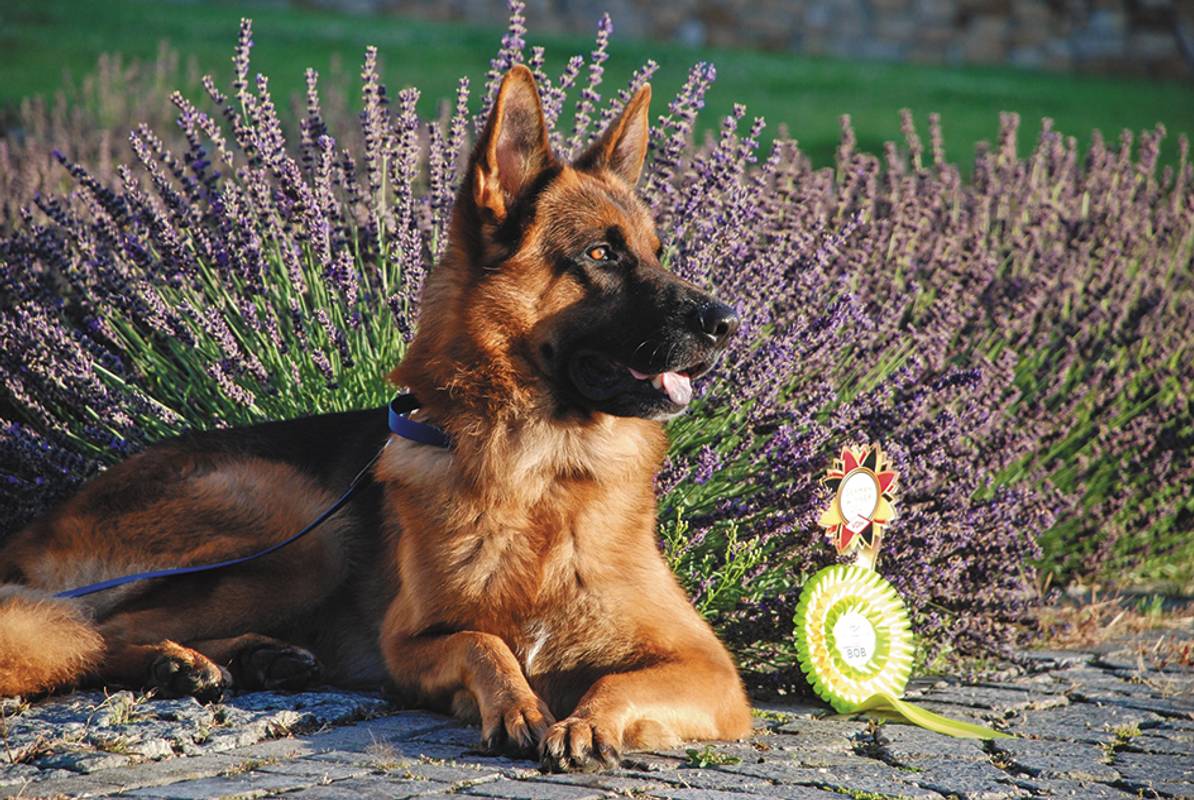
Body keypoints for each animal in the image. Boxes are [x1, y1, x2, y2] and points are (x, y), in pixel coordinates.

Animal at [0, 65, 745, 768]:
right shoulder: (409, 644)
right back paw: (178, 662)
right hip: (304, 529)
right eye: (601, 254)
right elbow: (485, 643)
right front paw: (519, 706)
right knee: (94, 633)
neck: (540, 467)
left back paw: (248, 657)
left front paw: (585, 721)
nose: (728, 322)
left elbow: (613, 682)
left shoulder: (710, 669)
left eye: (655, 253)